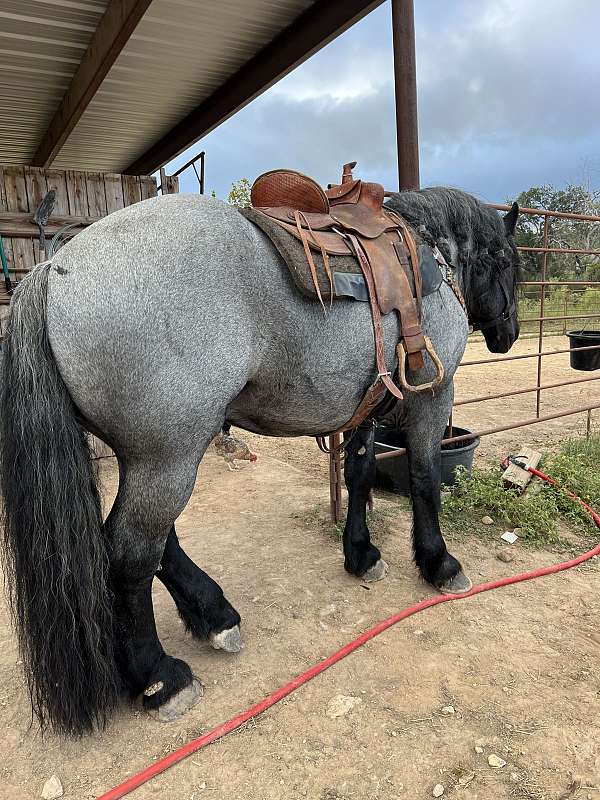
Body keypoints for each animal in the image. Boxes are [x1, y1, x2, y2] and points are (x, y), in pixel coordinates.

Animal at [0, 188, 520, 736]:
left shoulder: (368, 407)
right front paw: (439, 563)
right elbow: (424, 478)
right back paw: (161, 677)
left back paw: (213, 616)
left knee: (160, 544)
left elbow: (358, 476)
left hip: (152, 456)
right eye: (508, 261)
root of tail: (56, 269)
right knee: (130, 554)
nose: (508, 332)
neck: (428, 257)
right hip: (168, 457)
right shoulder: (432, 397)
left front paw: (361, 554)